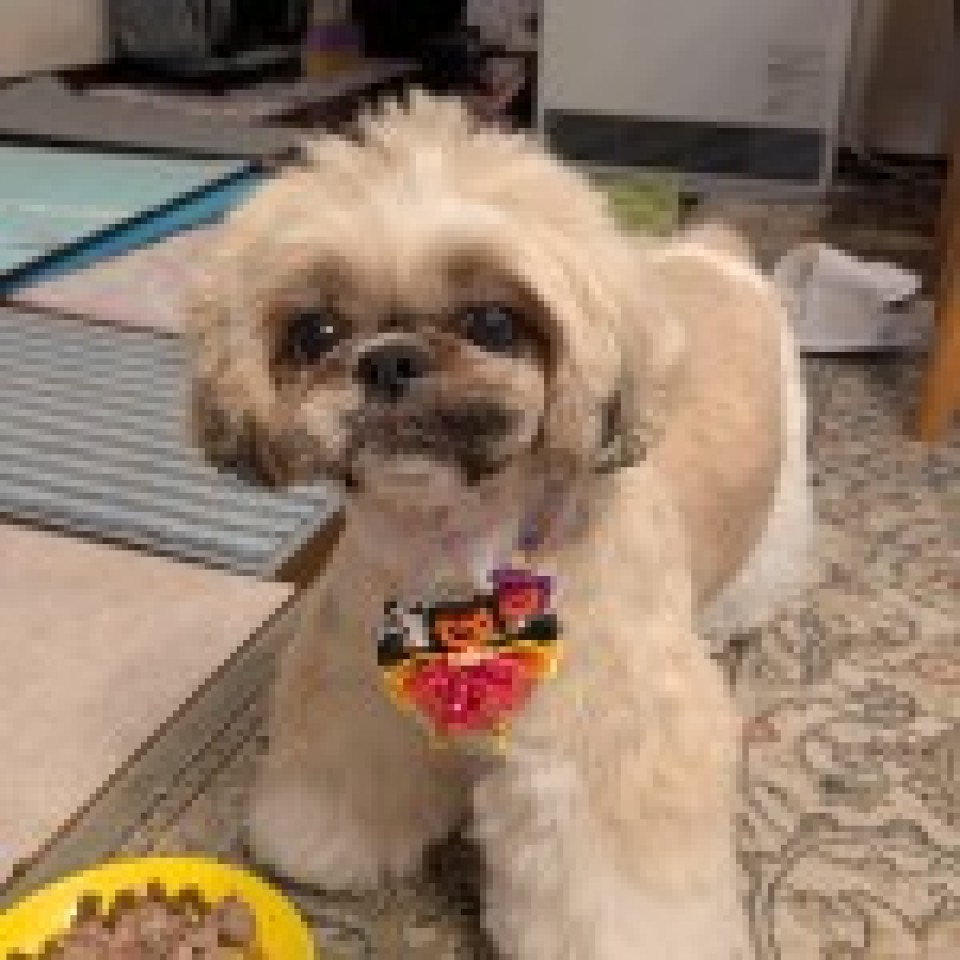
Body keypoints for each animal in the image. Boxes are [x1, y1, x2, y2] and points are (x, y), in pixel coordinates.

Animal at [186, 92, 808, 959]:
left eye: (491, 323)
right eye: (317, 333)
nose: (388, 358)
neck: (458, 561)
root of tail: (711, 253)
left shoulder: (604, 753)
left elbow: (620, 891)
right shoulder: (360, 695)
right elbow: (346, 771)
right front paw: (322, 843)